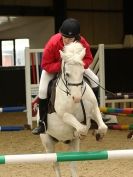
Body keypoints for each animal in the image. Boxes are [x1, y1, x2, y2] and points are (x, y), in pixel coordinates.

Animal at [40, 41, 107, 177]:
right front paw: (81, 132)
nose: (77, 98)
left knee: (73, 164)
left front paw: (98, 134)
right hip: (48, 142)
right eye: (67, 74)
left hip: (72, 144)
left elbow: (102, 126)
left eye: (82, 73)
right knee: (55, 163)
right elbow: (81, 128)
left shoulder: (93, 110)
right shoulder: (65, 115)